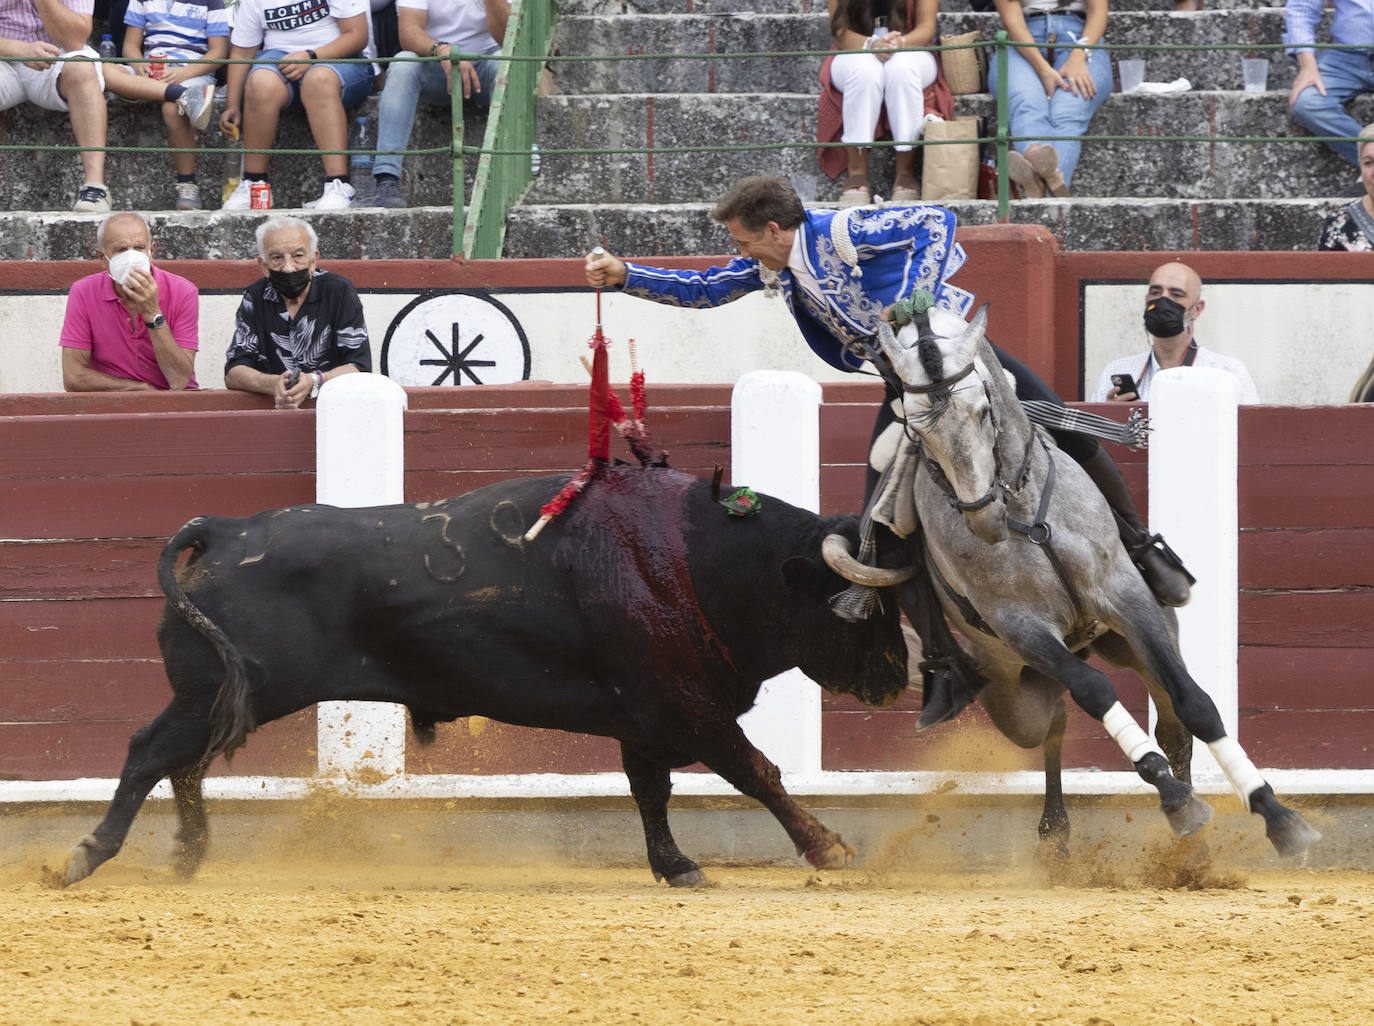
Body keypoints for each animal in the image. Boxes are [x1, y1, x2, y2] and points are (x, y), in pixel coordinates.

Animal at [64, 466, 906, 890]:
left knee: (185, 763)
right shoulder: (685, 708)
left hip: (221, 697)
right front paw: (829, 849)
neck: (691, 557)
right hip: (218, 692)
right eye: (861, 608)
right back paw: (88, 855)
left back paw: (187, 856)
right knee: (150, 752)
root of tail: (224, 529)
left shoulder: (644, 716)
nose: (899, 678)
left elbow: (651, 792)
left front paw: (677, 867)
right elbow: (756, 770)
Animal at [824, 304, 1319, 857]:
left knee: (1168, 722)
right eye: (916, 429)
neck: (1021, 510)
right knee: (1054, 722)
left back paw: (1185, 852)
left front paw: (1276, 814)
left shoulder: (1126, 597)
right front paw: (1176, 801)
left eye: (984, 409)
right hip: (1013, 689)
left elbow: (1198, 705)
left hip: (1131, 637)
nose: (984, 519)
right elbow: (1094, 691)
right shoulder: (1022, 627)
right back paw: (1057, 827)